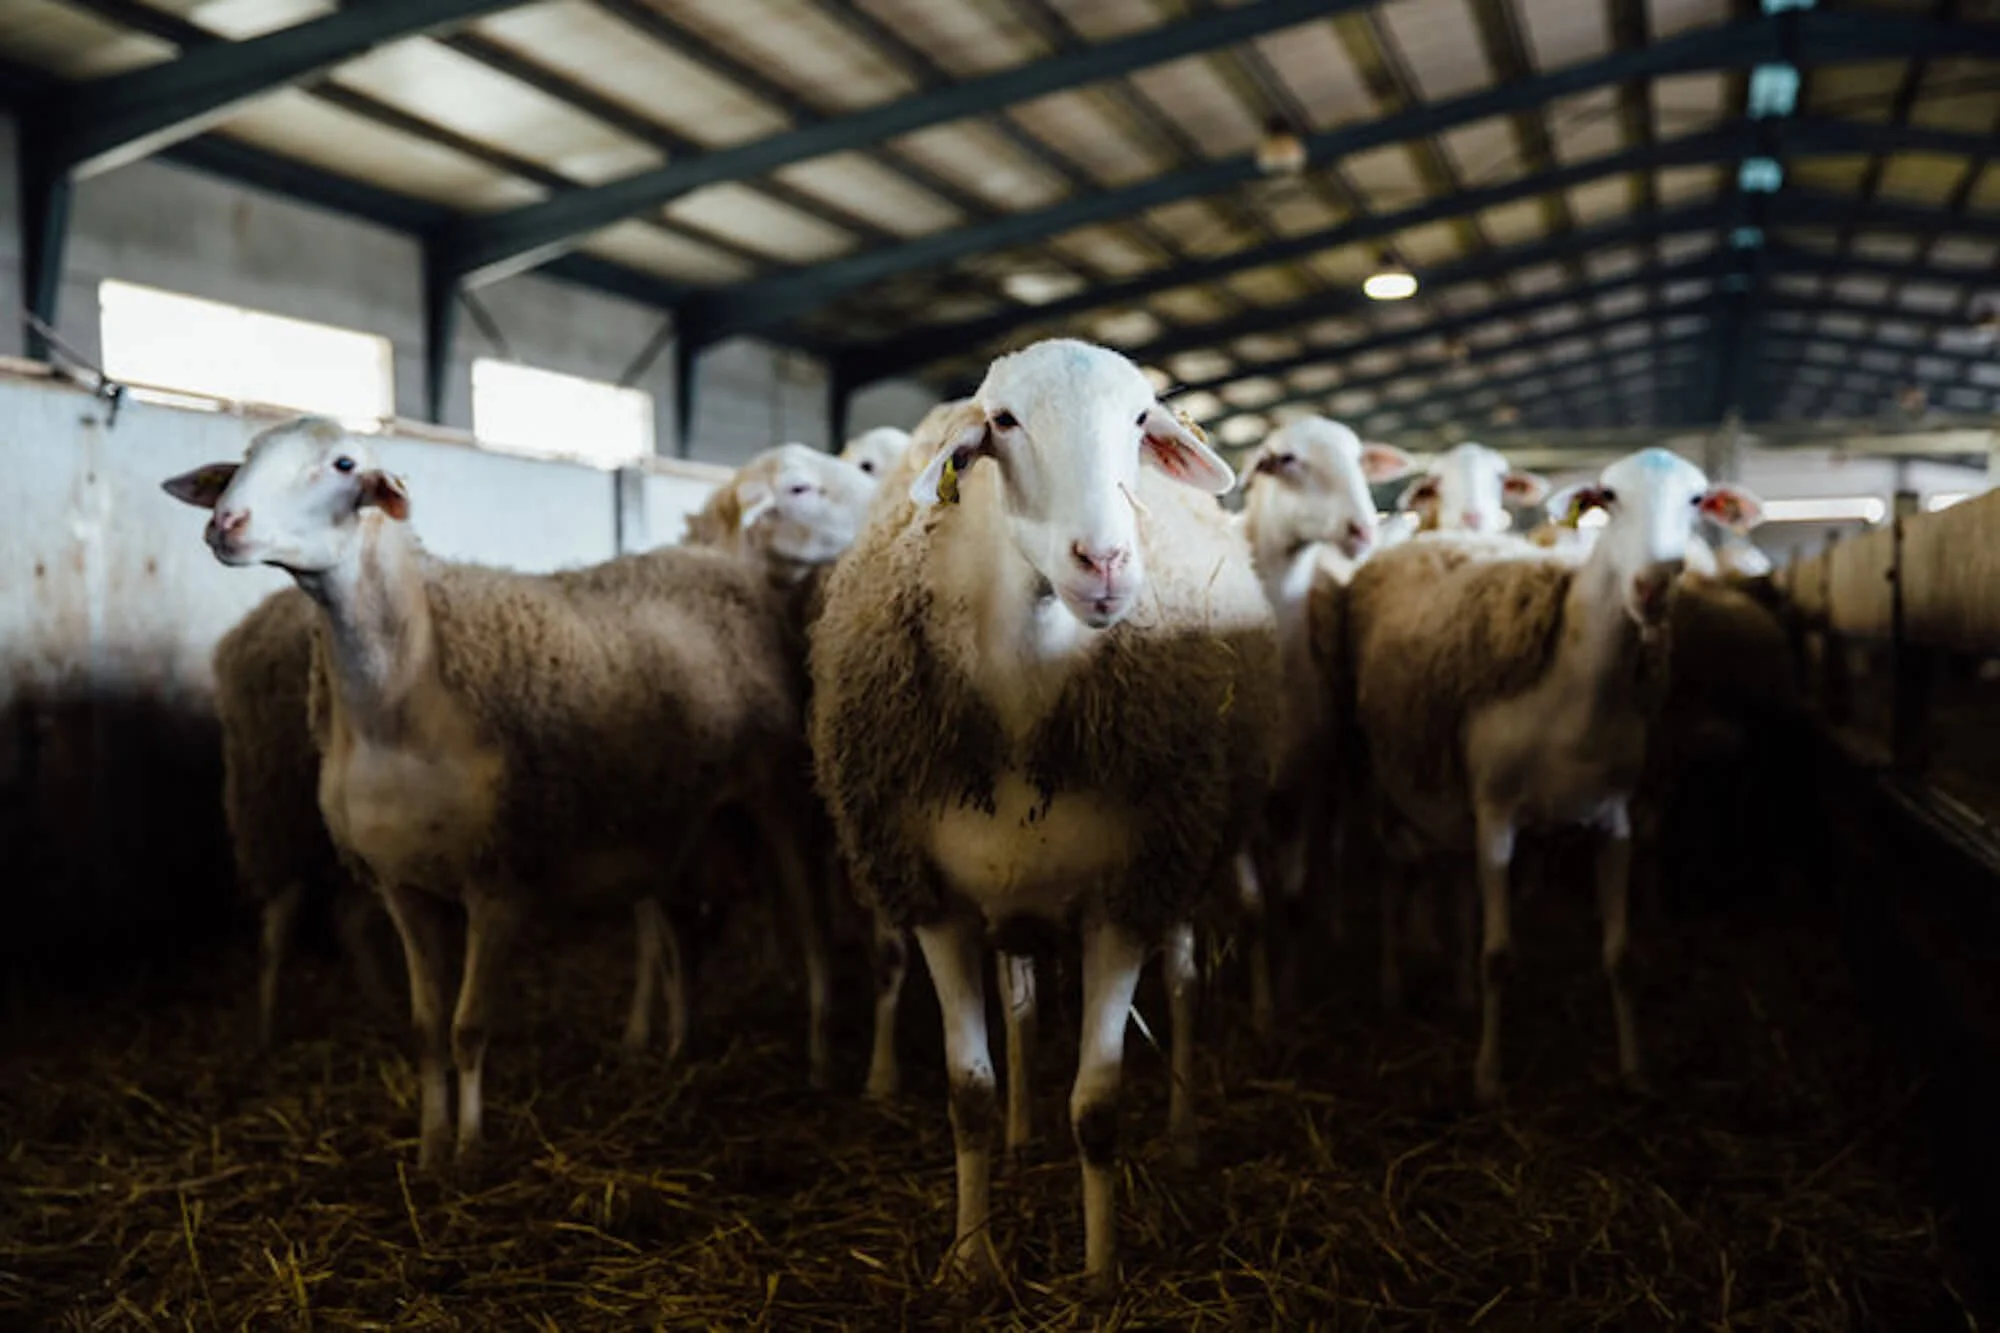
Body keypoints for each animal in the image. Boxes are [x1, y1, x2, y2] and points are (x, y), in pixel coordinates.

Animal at [809, 338, 1280, 1291]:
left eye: (1140, 418)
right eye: (1004, 421)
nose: (1103, 563)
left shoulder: (1123, 898)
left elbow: (1097, 1104)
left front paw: (1100, 1274)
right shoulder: (938, 903)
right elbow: (970, 1093)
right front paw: (971, 1258)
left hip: (1182, 859)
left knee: (1183, 984)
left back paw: (1182, 1134)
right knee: (1021, 1005)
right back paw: (1025, 1133)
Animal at [1233, 416, 1415, 1037]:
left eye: (1361, 459)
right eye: (1286, 459)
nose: (1362, 528)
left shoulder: (1299, 784)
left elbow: (1291, 900)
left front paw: (1289, 998)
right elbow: (1253, 908)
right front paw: (1261, 1013)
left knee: (1333, 849)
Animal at [1340, 447, 1763, 1103]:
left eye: (1697, 499)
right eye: (1608, 496)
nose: (1651, 588)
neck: (1574, 689)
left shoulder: (1615, 821)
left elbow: (1620, 957)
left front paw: (1634, 1069)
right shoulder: (1496, 819)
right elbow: (1498, 954)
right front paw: (1488, 1077)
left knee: (1454, 880)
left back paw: (1459, 991)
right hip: (1385, 784)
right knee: (1390, 879)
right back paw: (1391, 987)